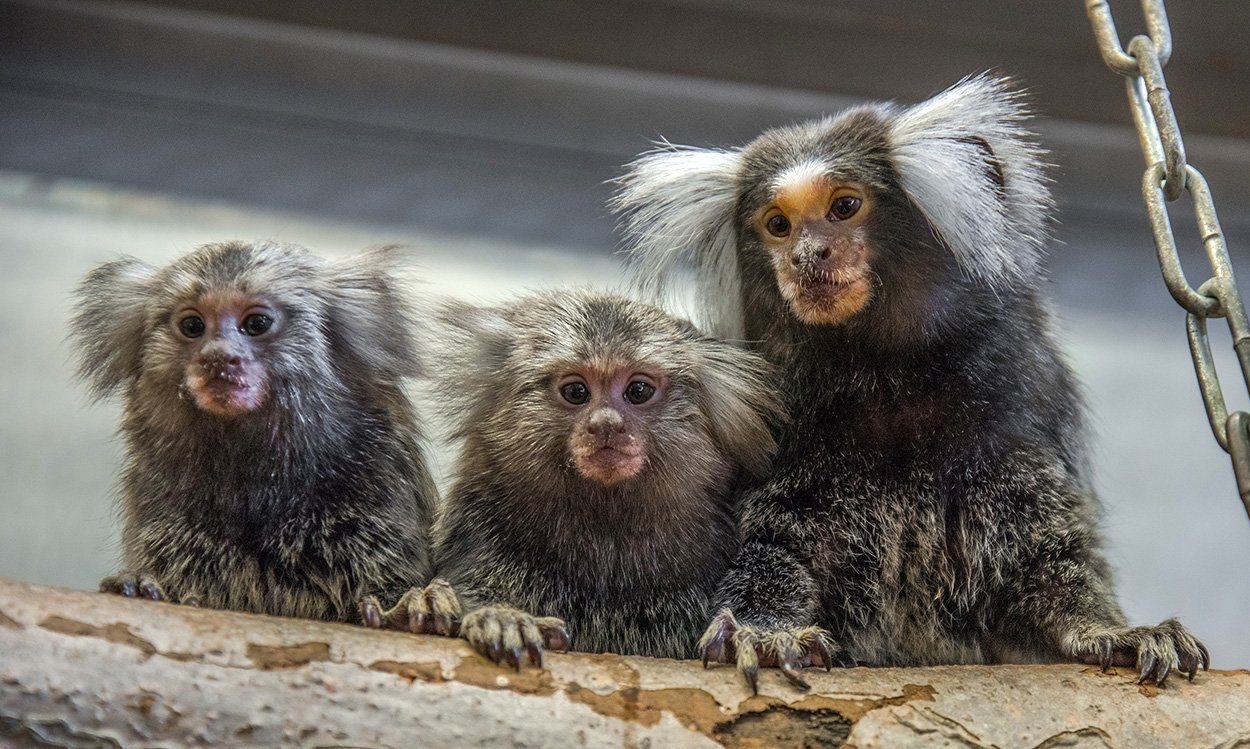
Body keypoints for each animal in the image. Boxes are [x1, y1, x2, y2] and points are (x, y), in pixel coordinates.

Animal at [71, 240, 437, 622]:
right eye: (192, 325)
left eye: (256, 324)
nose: (217, 358)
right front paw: (142, 587)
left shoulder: (381, 480)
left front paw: (408, 610)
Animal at [612, 75, 1209, 690]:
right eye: (777, 224)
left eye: (844, 206)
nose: (806, 256)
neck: (884, 379)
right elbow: (772, 547)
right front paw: (765, 629)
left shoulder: (1020, 409)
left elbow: (1041, 557)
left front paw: (1106, 631)